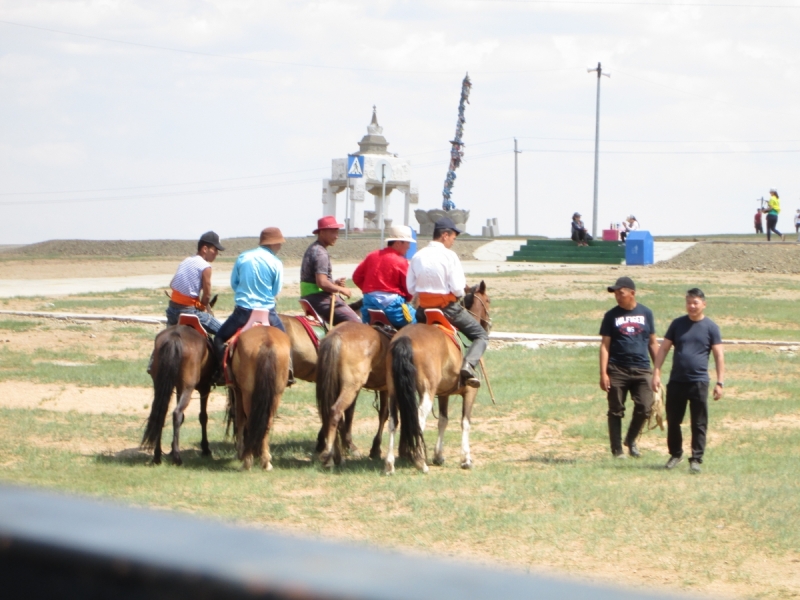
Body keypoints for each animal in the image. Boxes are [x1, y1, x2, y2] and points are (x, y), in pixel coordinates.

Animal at [141, 326, 214, 466]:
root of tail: (174, 337)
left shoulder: (179, 388)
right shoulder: (204, 388)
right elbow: (203, 417)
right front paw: (205, 448)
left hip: (161, 387)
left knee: (161, 415)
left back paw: (157, 456)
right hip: (188, 388)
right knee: (177, 414)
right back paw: (177, 458)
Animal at [227, 326, 292, 472]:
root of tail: (267, 342)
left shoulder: (239, 391)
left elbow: (240, 420)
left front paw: (240, 451)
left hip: (248, 393)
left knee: (250, 421)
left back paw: (247, 461)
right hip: (276, 393)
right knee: (267, 422)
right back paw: (266, 461)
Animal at [318, 324, 396, 468]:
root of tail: (336, 335)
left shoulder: (385, 389)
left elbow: (383, 414)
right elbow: (387, 415)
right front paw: (376, 448)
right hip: (351, 387)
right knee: (336, 411)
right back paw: (329, 455)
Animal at [384, 284, 490, 476]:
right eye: (488, 301)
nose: (488, 325)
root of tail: (404, 339)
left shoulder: (443, 394)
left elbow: (443, 420)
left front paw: (438, 456)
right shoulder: (470, 391)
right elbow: (465, 422)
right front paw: (466, 459)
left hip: (393, 391)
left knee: (393, 421)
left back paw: (389, 464)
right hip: (426, 391)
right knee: (419, 419)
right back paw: (420, 462)